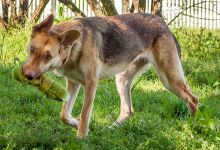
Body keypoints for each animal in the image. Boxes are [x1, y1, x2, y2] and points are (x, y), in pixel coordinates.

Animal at [22, 13, 199, 138]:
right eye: (32, 50)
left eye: (48, 56)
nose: (27, 75)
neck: (74, 48)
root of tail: (163, 24)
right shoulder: (73, 84)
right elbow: (64, 115)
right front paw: (75, 123)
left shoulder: (91, 84)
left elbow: (85, 113)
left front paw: (81, 137)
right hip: (121, 80)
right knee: (128, 111)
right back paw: (109, 130)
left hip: (168, 79)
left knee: (193, 99)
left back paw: (191, 127)